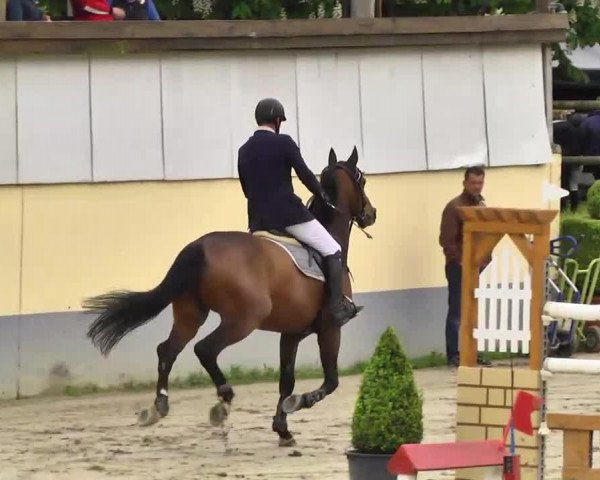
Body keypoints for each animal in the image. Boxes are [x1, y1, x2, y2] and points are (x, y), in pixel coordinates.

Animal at [82, 145, 378, 446]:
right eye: (362, 180)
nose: (371, 213)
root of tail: (198, 246)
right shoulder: (330, 328)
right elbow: (331, 382)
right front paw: (298, 403)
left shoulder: (291, 334)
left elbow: (286, 380)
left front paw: (282, 429)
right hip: (242, 320)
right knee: (204, 349)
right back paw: (223, 399)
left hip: (190, 314)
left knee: (167, 350)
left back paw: (158, 407)